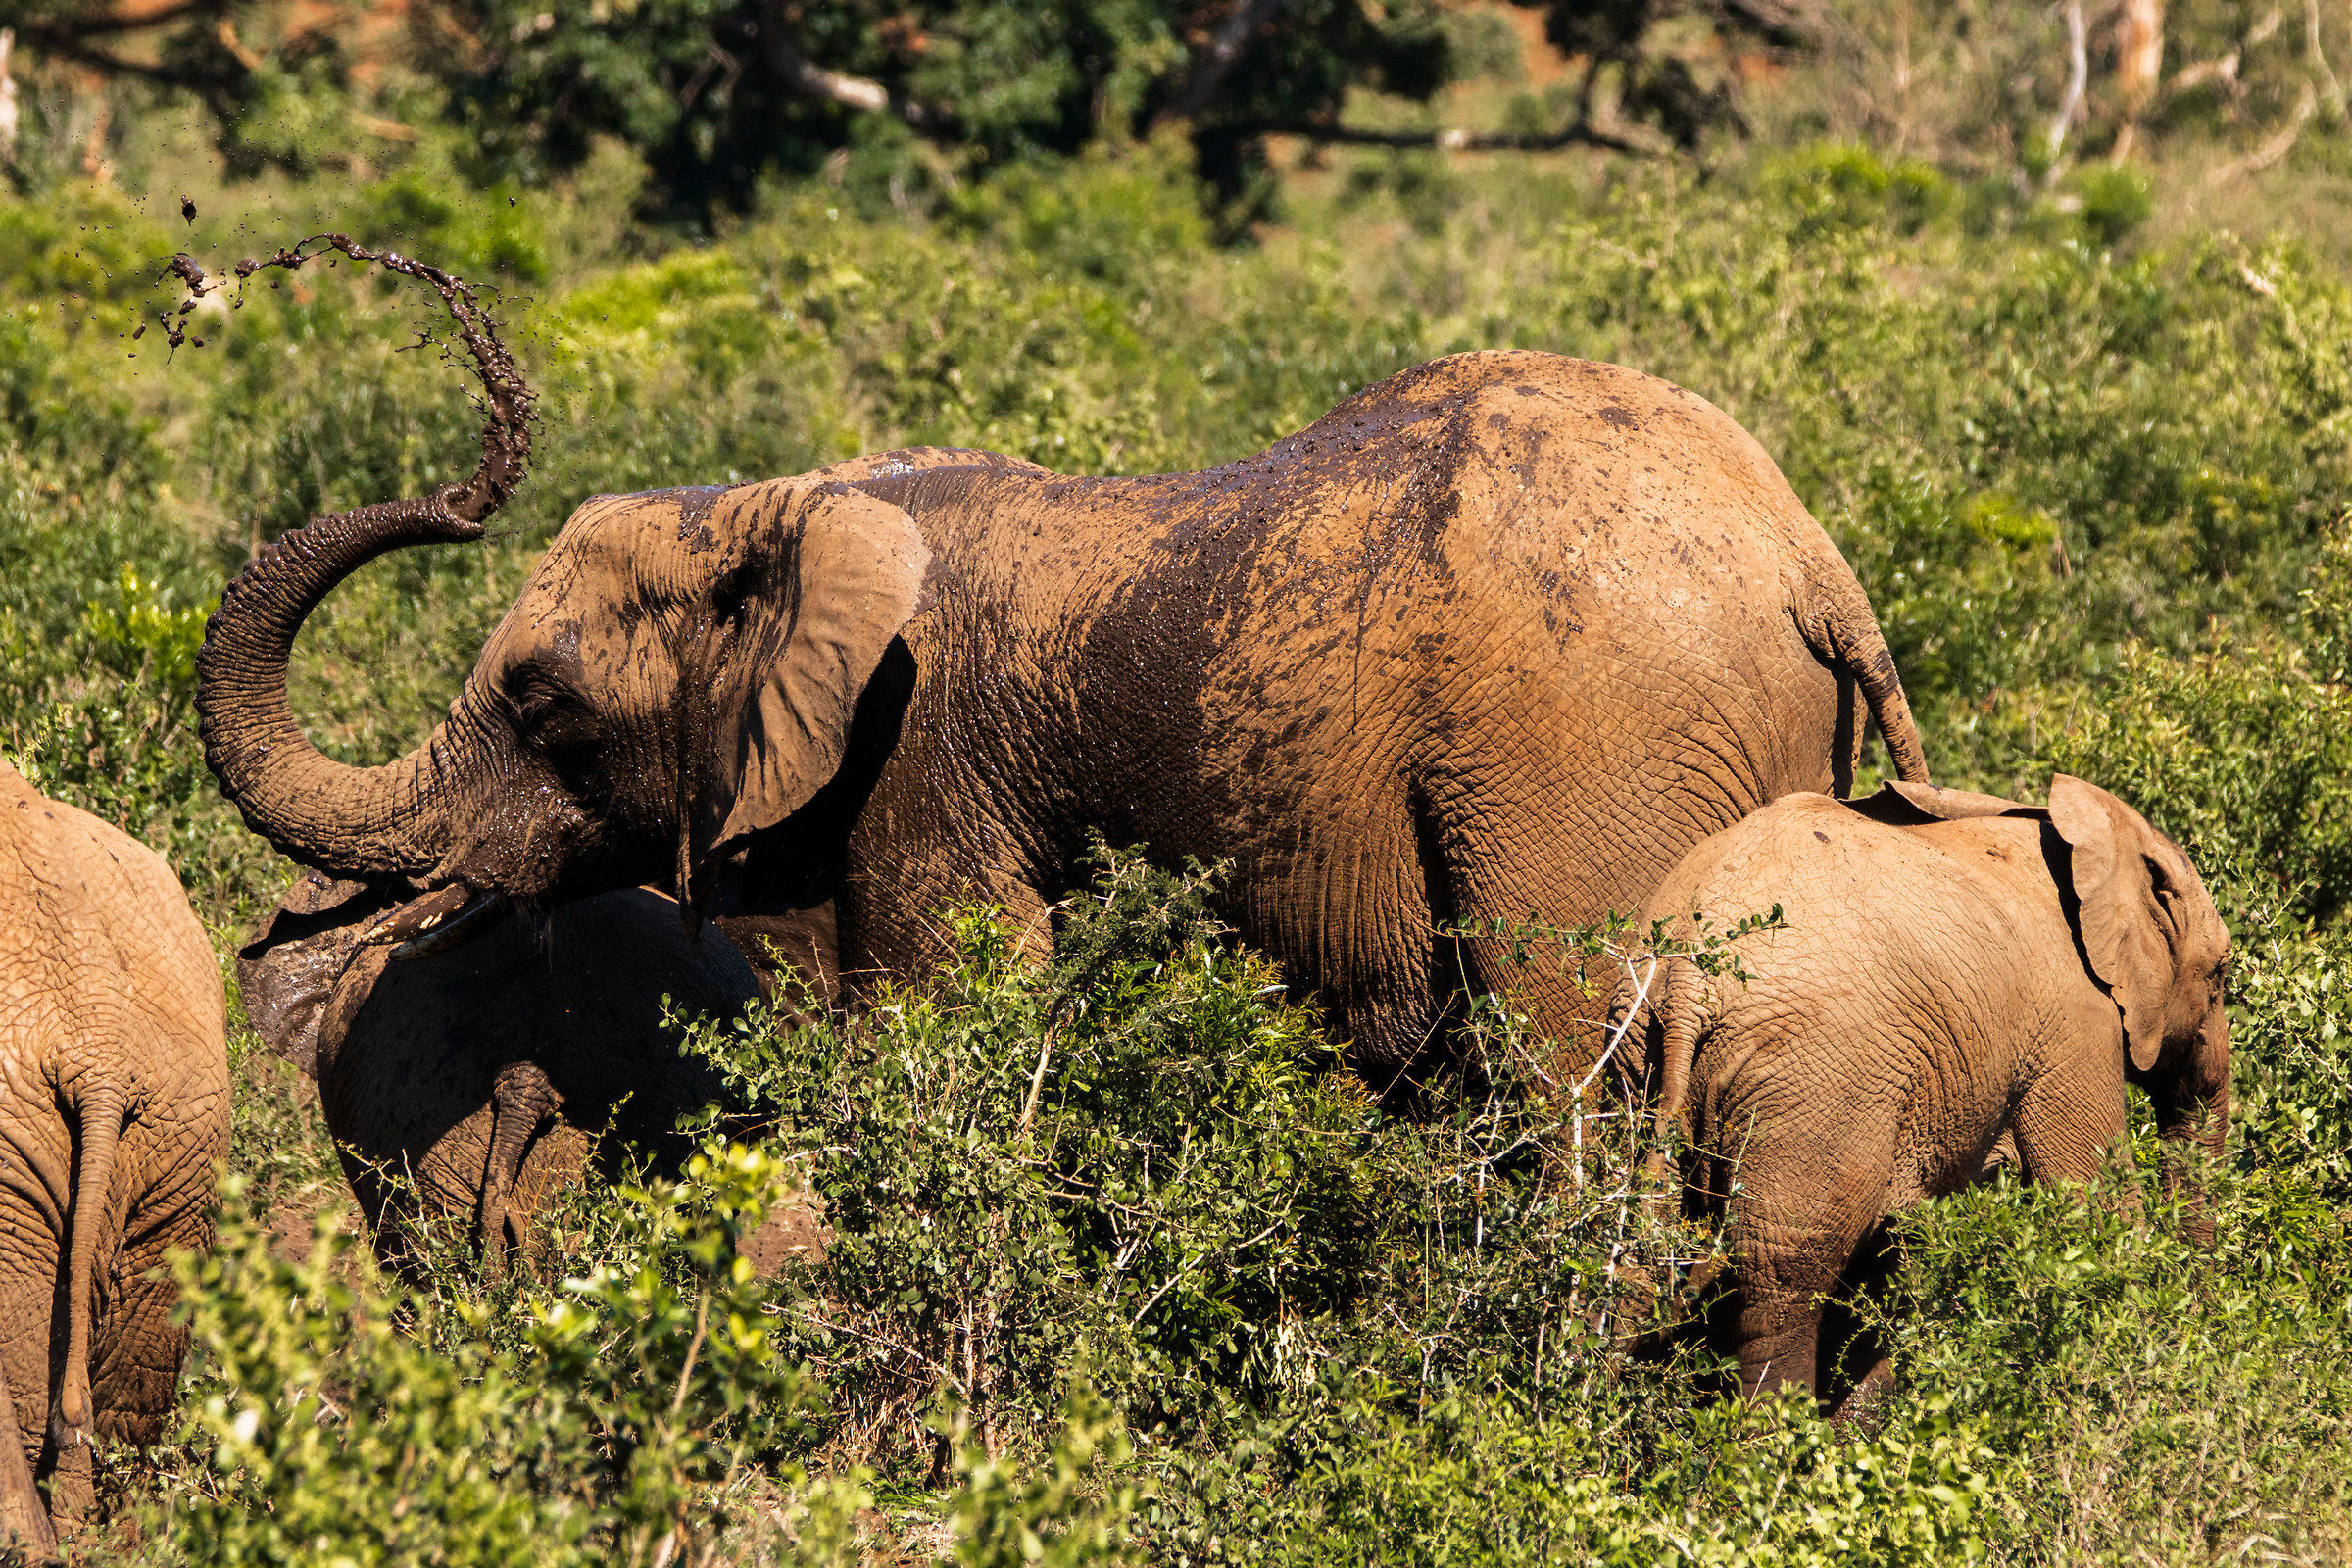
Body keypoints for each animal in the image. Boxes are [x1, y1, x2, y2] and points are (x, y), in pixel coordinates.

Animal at [195, 346, 1932, 1092]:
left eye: (540, 701)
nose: (469, 483)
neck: (786, 508)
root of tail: (1810, 559)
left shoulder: (916, 770)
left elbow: (939, 1016)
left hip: (1583, 759)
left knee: (1565, 1049)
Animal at [1611, 776, 2231, 1417]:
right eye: (2220, 976)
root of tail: (1691, 976)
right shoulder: (2075, 1019)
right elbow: (2093, 1205)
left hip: (1639, 1049)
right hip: (1818, 1078)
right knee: (1784, 1273)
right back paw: (1783, 1436)